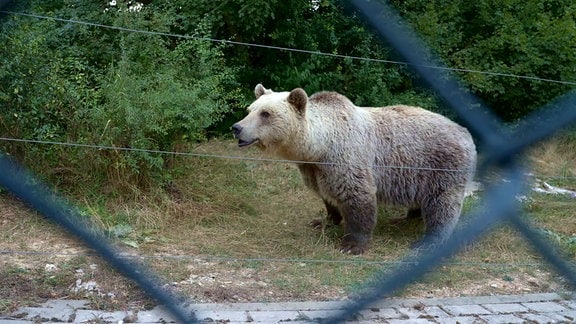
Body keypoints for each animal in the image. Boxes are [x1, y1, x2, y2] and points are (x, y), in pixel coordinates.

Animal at [231, 84, 476, 256]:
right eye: (250, 109)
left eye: (266, 113)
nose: (237, 127)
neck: (319, 146)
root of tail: (465, 132)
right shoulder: (314, 168)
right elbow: (326, 194)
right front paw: (323, 220)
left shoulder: (346, 157)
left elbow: (356, 196)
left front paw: (351, 244)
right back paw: (405, 217)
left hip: (441, 165)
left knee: (442, 204)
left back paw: (430, 239)